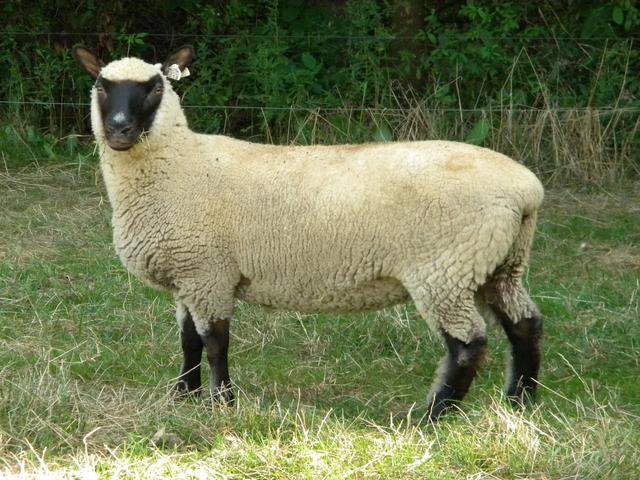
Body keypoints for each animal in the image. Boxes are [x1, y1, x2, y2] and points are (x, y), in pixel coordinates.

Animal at [72, 44, 545, 419]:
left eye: (154, 88)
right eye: (101, 86)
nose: (119, 129)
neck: (177, 165)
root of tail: (526, 190)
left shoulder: (208, 275)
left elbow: (215, 343)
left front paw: (223, 402)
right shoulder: (189, 275)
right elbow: (189, 341)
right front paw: (183, 395)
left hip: (445, 270)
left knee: (469, 345)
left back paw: (433, 416)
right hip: (496, 265)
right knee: (526, 325)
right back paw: (519, 402)